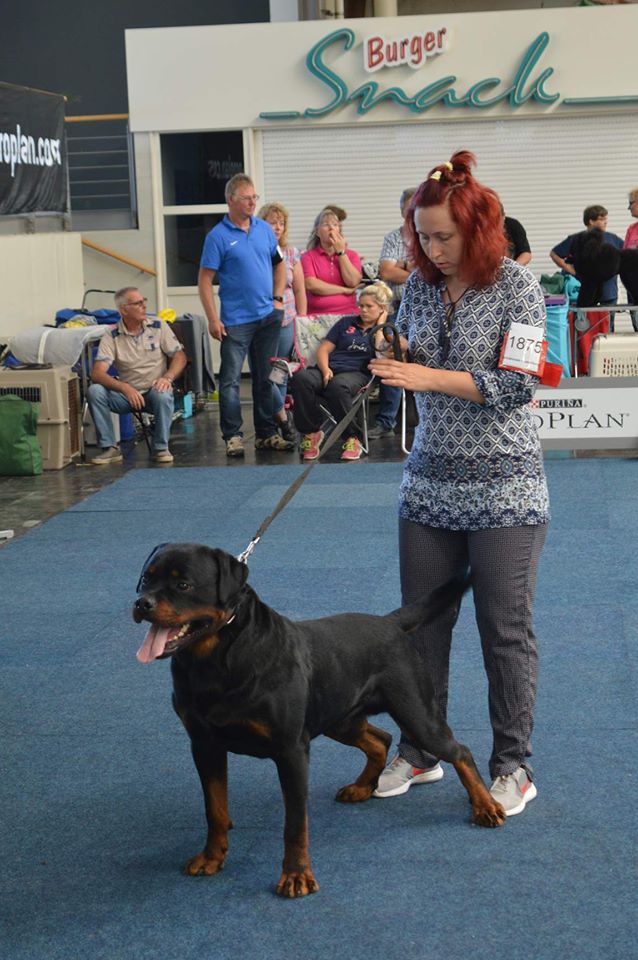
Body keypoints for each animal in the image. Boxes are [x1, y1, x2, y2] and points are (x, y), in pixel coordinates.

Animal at [134, 543, 505, 898]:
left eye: (183, 584)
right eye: (146, 579)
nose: (141, 603)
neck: (215, 661)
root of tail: (390, 622)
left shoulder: (291, 750)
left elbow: (295, 823)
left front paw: (296, 876)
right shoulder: (204, 744)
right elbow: (215, 808)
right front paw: (211, 857)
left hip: (416, 714)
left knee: (459, 750)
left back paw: (486, 806)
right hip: (339, 717)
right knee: (380, 739)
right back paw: (361, 787)